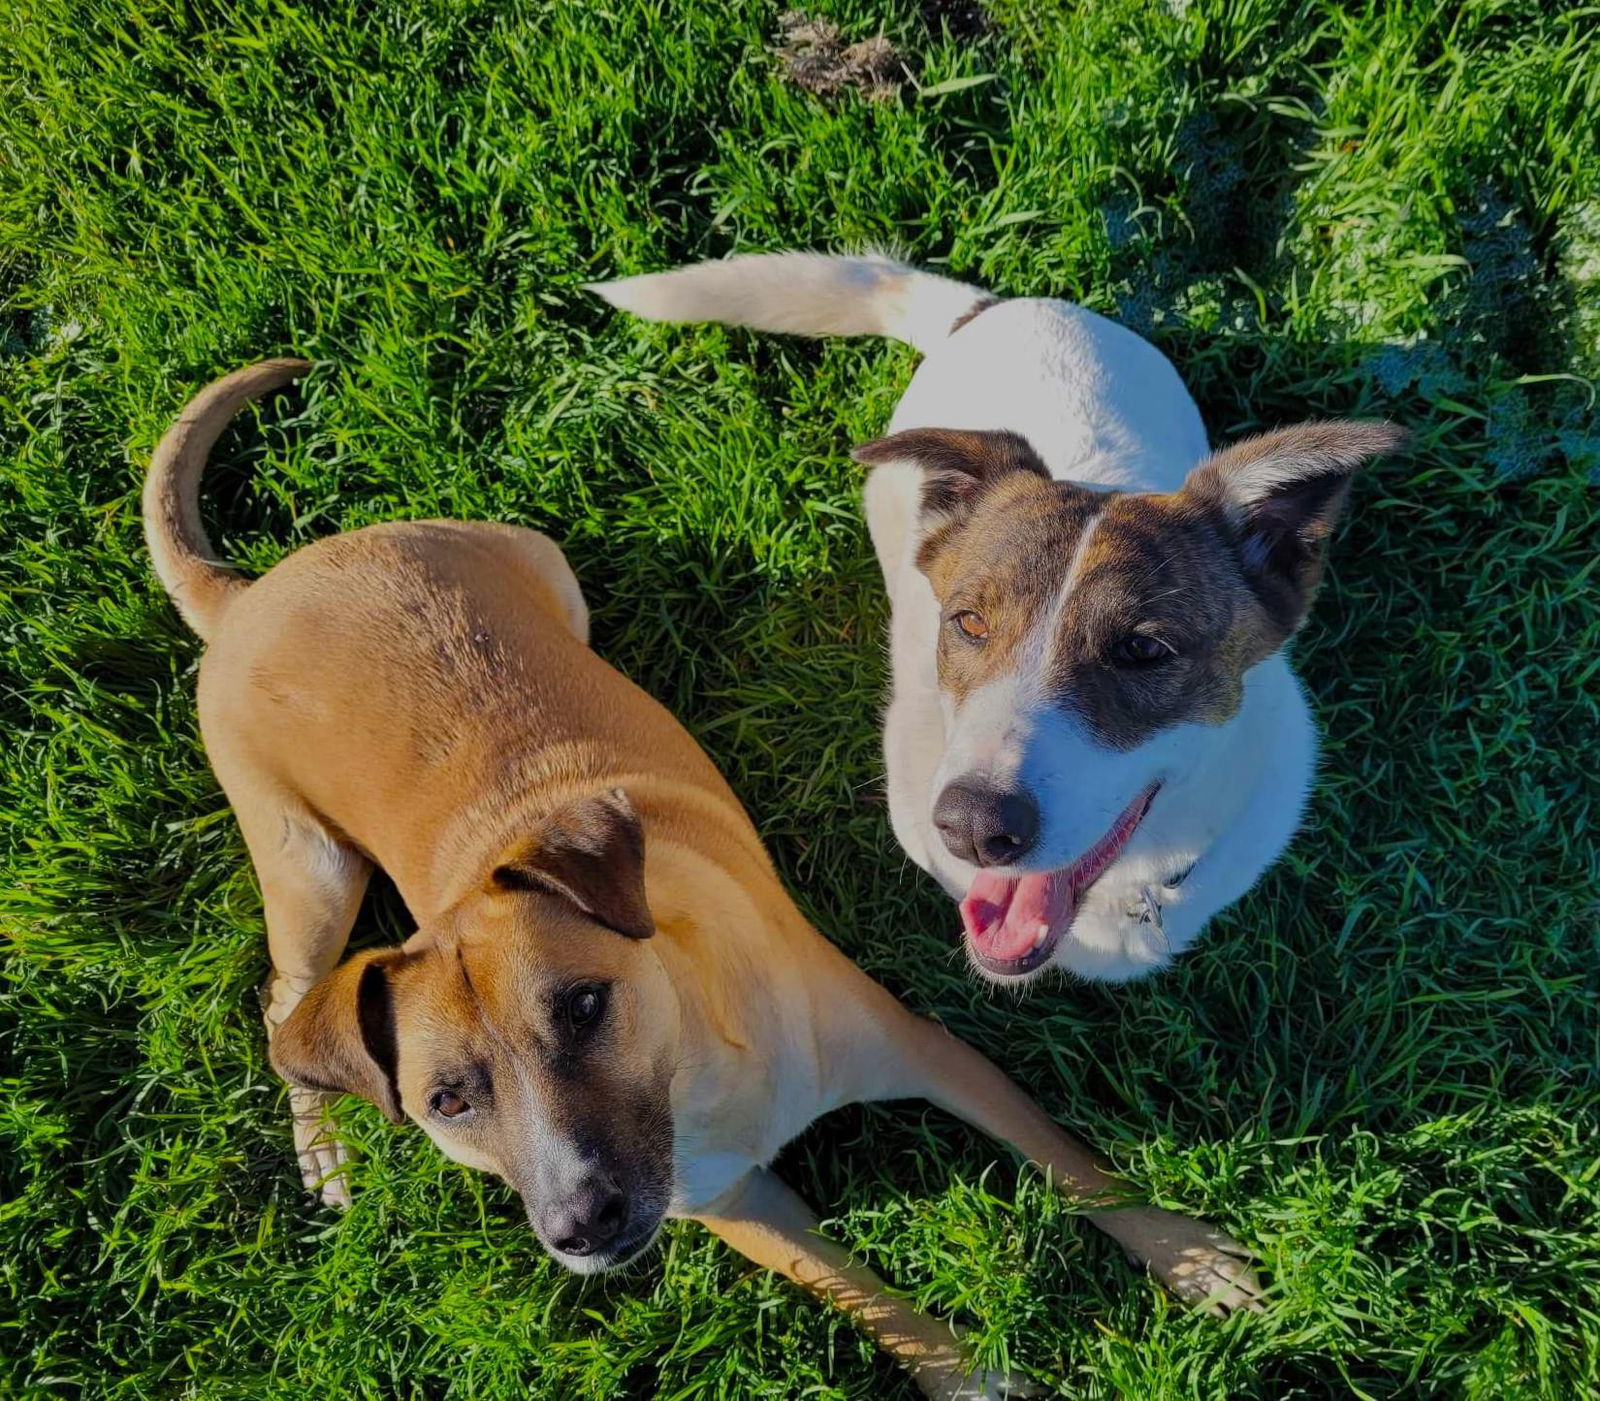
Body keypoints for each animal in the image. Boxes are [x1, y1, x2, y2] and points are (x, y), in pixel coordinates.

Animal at [140, 358, 1260, 1388]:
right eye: (446, 1100)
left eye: (583, 1004)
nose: (584, 1223)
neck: (696, 1063)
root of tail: (253, 592)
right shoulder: (741, 1209)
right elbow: (873, 1304)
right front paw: (972, 1378)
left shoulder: (934, 1053)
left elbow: (1072, 1164)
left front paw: (1189, 1255)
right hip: (310, 867)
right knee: (284, 1001)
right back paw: (324, 1146)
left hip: (541, 570)